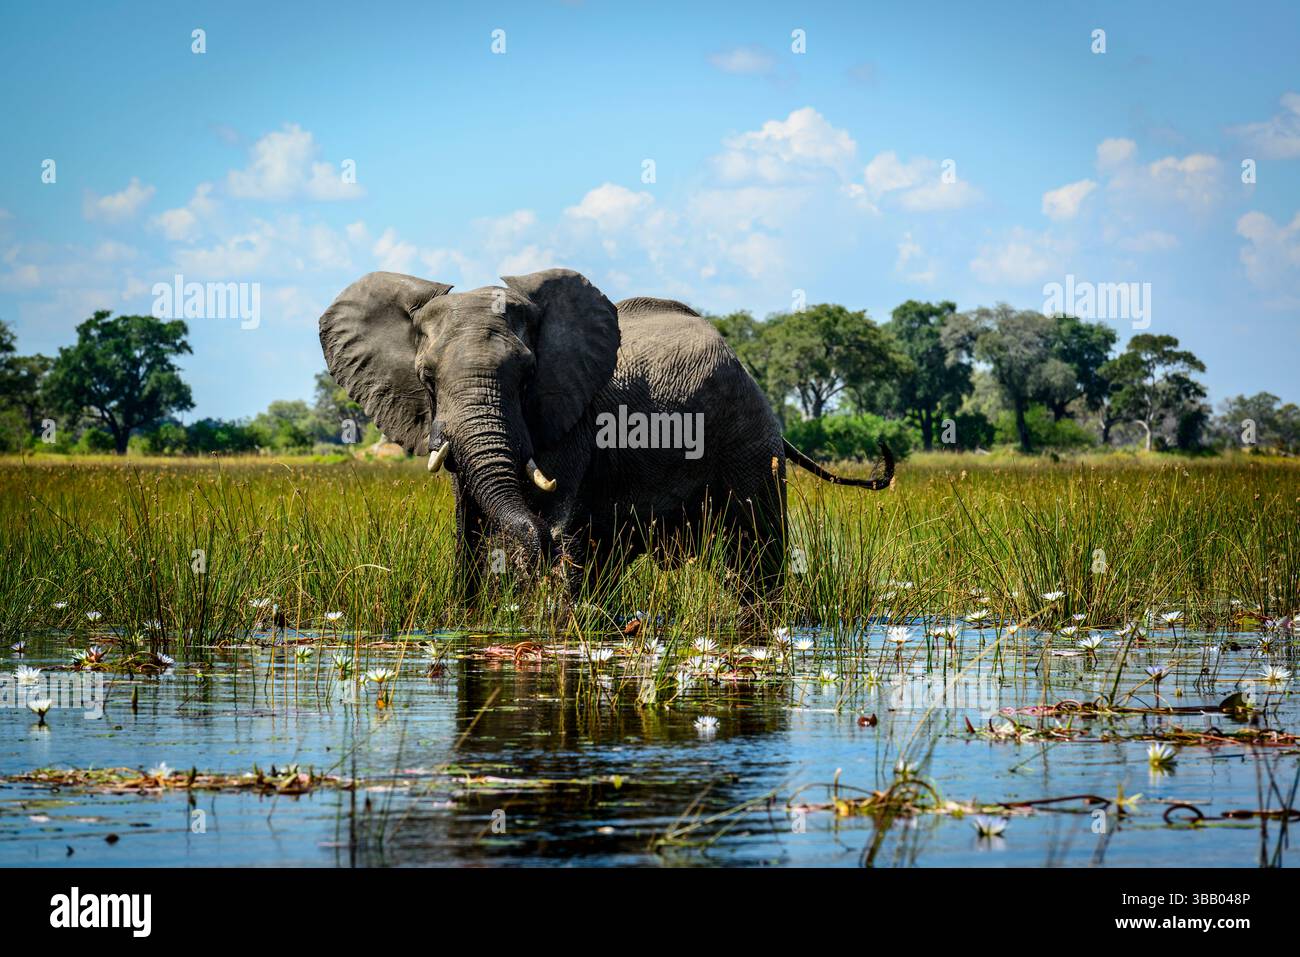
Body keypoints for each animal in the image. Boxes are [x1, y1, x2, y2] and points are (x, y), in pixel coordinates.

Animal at [318, 268, 893, 614]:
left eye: (527, 377)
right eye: (427, 378)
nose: (538, 545)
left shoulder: (576, 419)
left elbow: (566, 523)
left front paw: (547, 590)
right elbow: (468, 535)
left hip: (749, 439)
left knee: (756, 555)